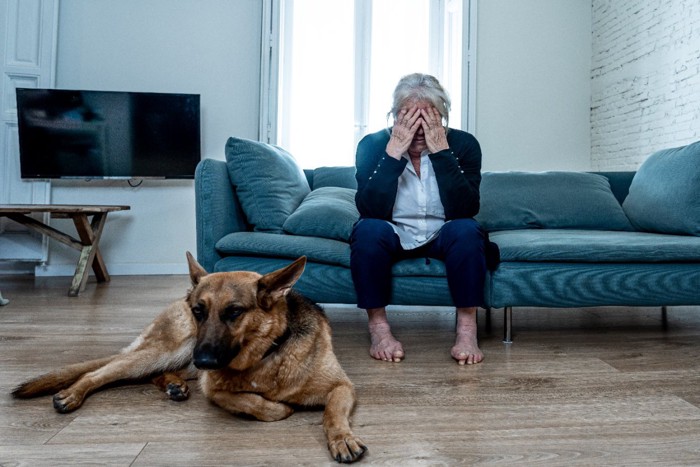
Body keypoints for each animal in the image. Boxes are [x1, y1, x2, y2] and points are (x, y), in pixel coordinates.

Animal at [10, 256, 366, 464]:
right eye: (199, 311)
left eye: (234, 312)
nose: (204, 359)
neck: (268, 354)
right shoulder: (215, 389)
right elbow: (259, 405)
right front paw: (279, 407)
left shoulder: (342, 387)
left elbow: (333, 413)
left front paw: (343, 439)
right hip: (169, 350)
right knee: (102, 372)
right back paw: (73, 393)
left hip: (175, 358)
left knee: (152, 374)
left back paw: (174, 385)